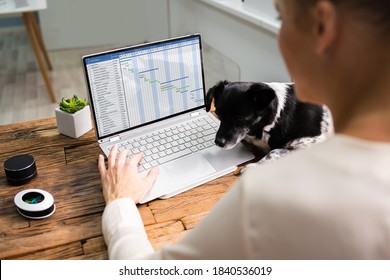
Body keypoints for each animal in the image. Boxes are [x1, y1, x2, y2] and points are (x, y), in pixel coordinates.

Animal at [206, 81, 334, 168]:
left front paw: (253, 166)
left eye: (240, 119)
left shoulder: (315, 140)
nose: (218, 142)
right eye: (218, 115)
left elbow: (274, 152)